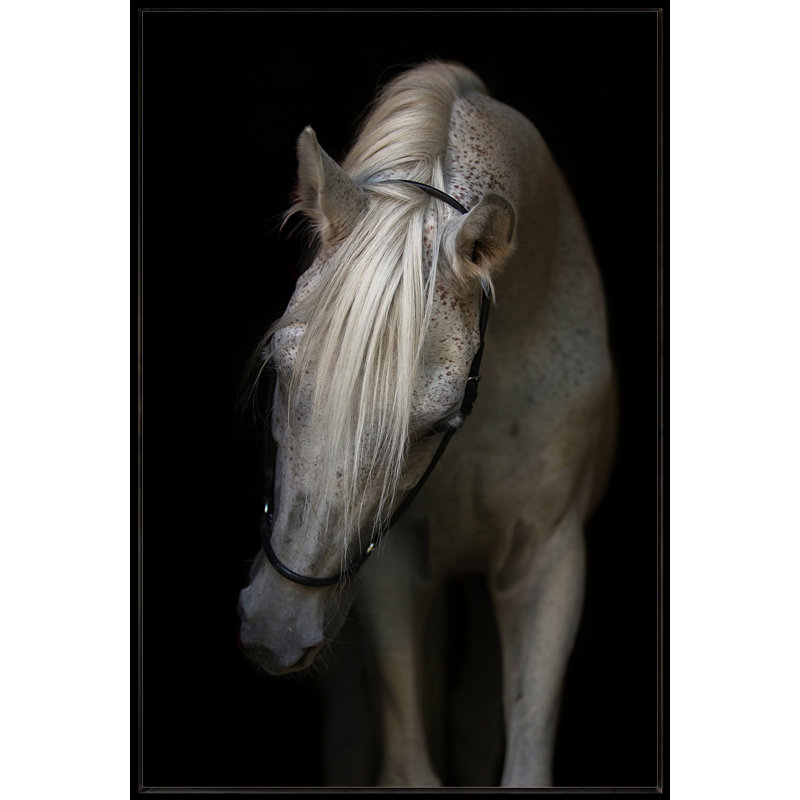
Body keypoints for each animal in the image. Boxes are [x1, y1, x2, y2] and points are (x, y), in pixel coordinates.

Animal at [237, 61, 616, 787]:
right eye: (279, 369)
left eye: (439, 420)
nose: (276, 626)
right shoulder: (393, 563)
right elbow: (409, 762)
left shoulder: (549, 561)